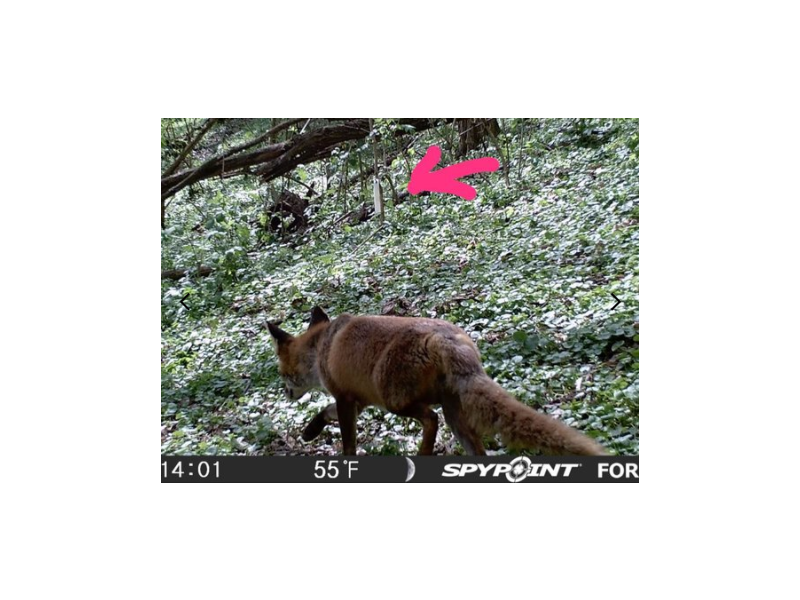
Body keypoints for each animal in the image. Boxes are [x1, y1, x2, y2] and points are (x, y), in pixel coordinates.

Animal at [267, 307, 608, 456]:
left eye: (282, 374)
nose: (285, 394)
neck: (321, 347)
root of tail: (446, 339)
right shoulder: (357, 400)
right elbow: (324, 414)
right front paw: (310, 431)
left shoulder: (346, 399)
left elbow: (348, 441)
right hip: (455, 416)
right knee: (476, 451)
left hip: (395, 401)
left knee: (430, 420)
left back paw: (423, 453)